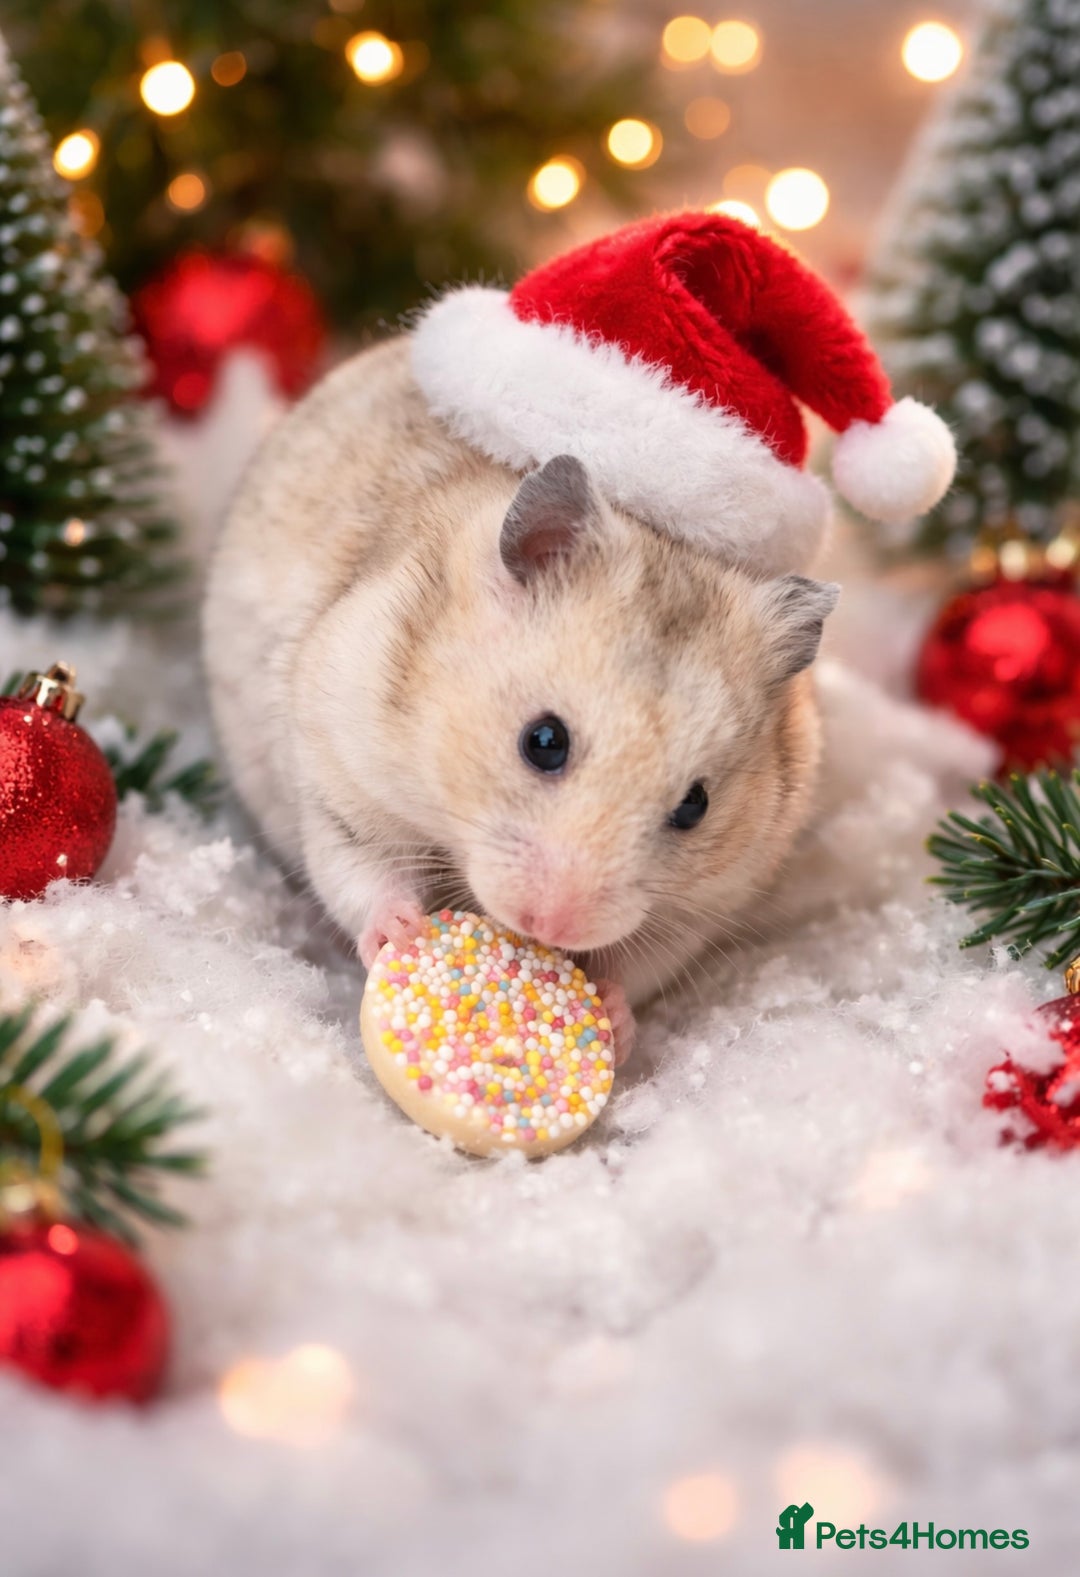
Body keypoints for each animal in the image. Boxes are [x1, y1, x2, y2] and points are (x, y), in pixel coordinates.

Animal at [203, 337, 837, 1062]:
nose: (553, 927)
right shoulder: (342, 781)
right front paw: (405, 934)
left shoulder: (702, 906)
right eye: (543, 742)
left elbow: (639, 963)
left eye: (695, 806)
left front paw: (611, 1016)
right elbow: (363, 873)